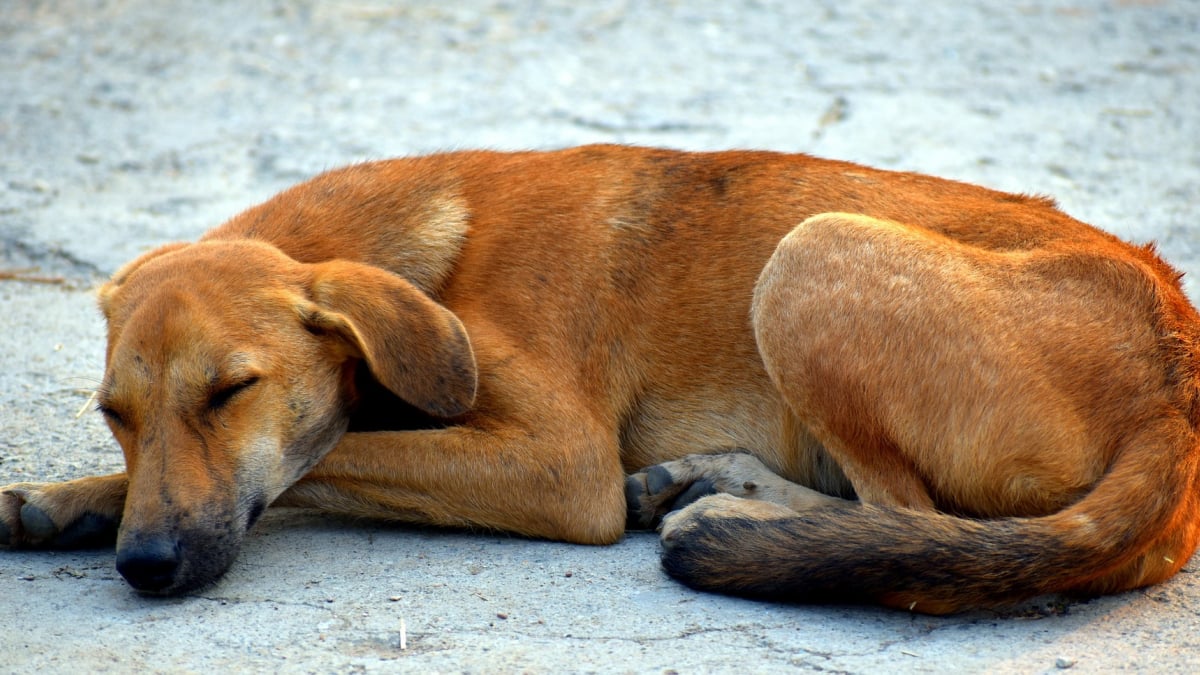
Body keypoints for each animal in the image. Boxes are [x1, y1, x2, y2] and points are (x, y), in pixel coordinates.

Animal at [2, 144, 1200, 612]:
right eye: (114, 414)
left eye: (230, 392)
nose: (146, 567)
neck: (437, 261)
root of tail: (1176, 388)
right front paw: (64, 500)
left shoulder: (559, 465)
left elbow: (331, 453)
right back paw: (718, 485)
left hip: (810, 256)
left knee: (917, 536)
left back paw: (747, 523)